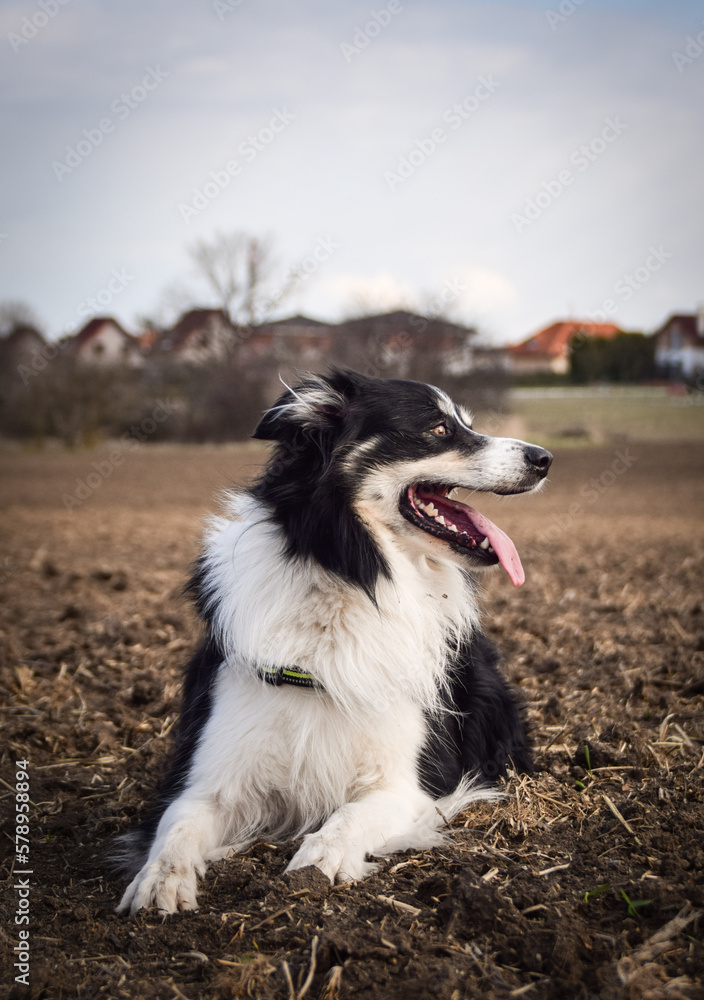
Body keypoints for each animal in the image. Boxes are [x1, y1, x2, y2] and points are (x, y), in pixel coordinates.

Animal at [118, 370, 552, 916]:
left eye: (465, 424)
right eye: (438, 430)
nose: (545, 458)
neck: (349, 576)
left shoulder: (409, 786)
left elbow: (347, 816)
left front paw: (316, 863)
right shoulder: (207, 779)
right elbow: (176, 828)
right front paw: (160, 881)